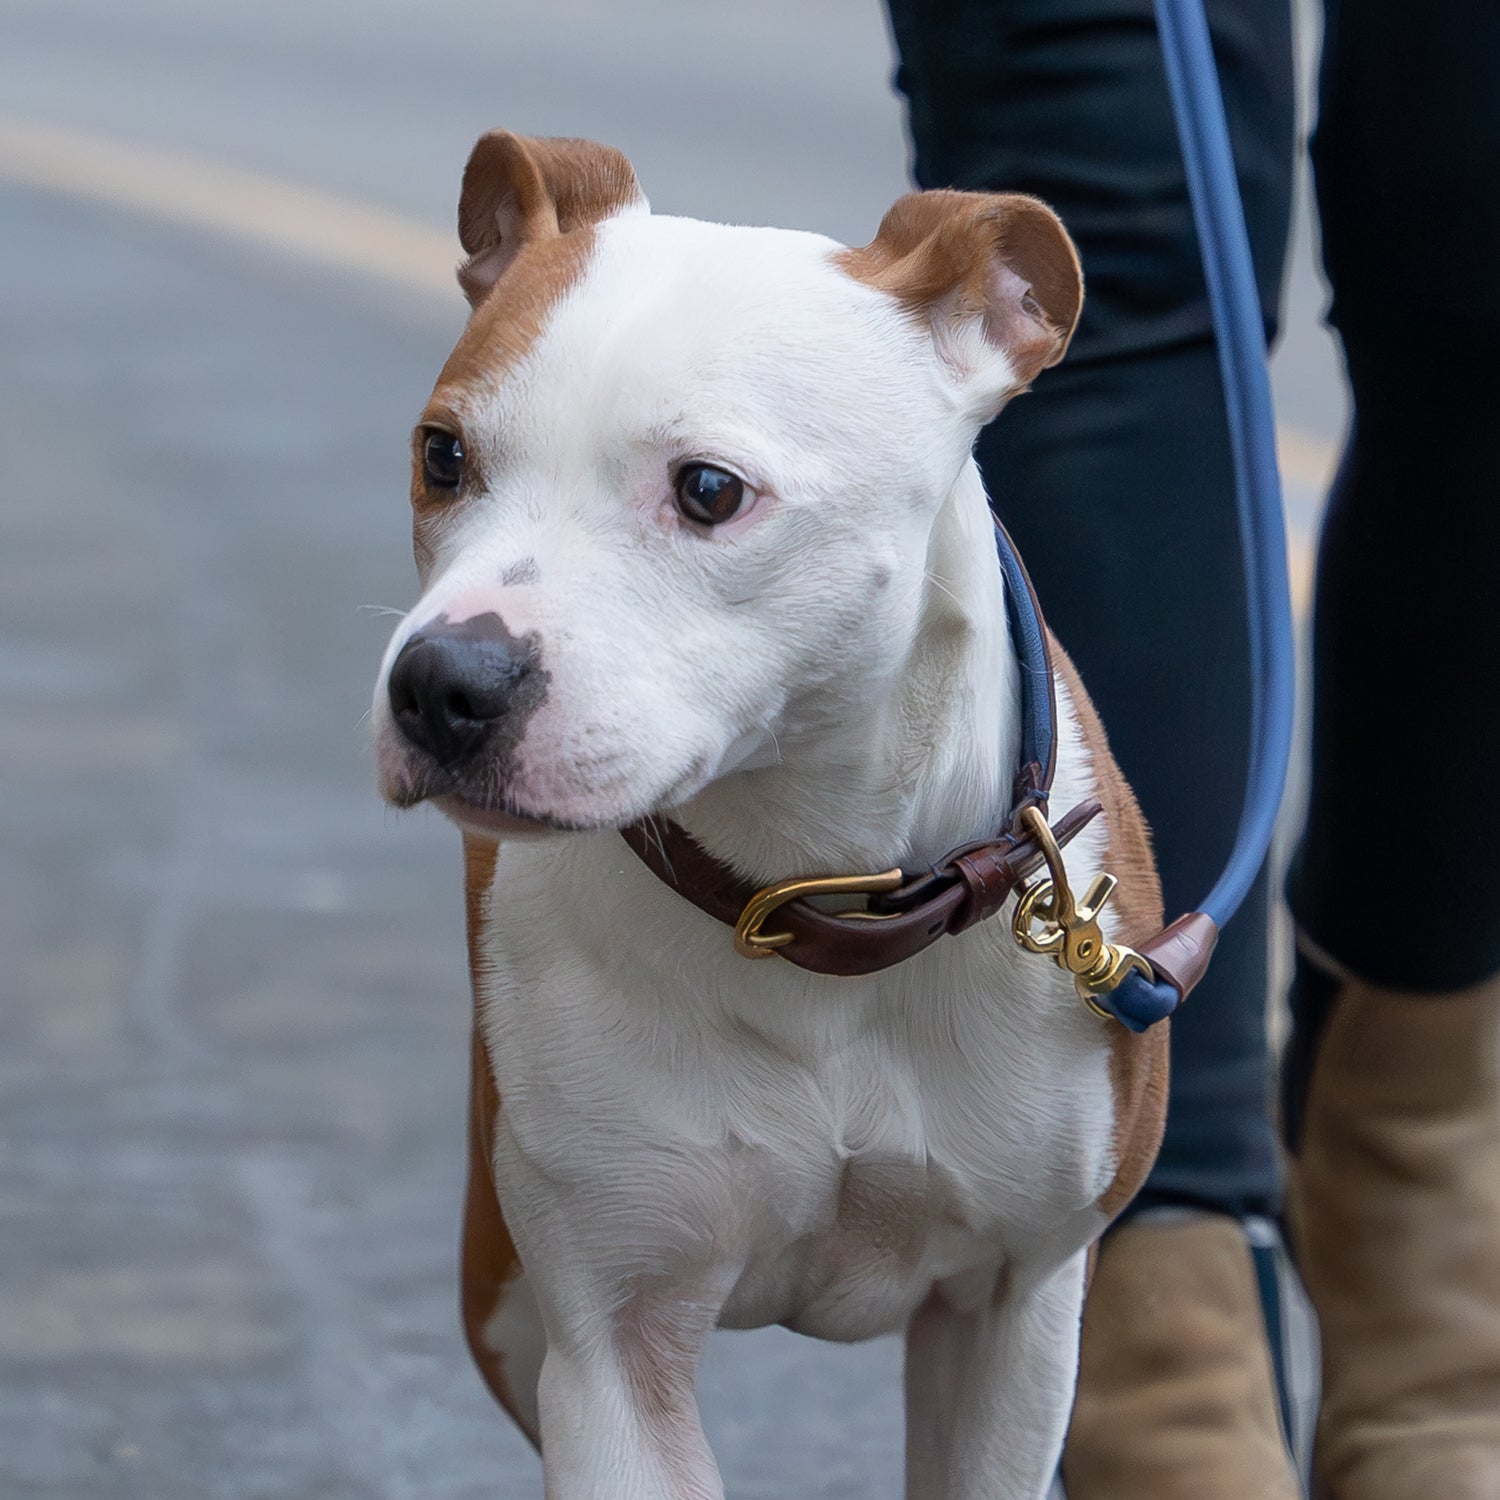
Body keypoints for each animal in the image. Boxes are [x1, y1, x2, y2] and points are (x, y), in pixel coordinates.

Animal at [369, 132, 1164, 1500]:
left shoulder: (1015, 1315)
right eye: (442, 456)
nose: (443, 685)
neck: (813, 890)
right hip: (505, 1300)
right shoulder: (611, 1346)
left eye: (707, 490)